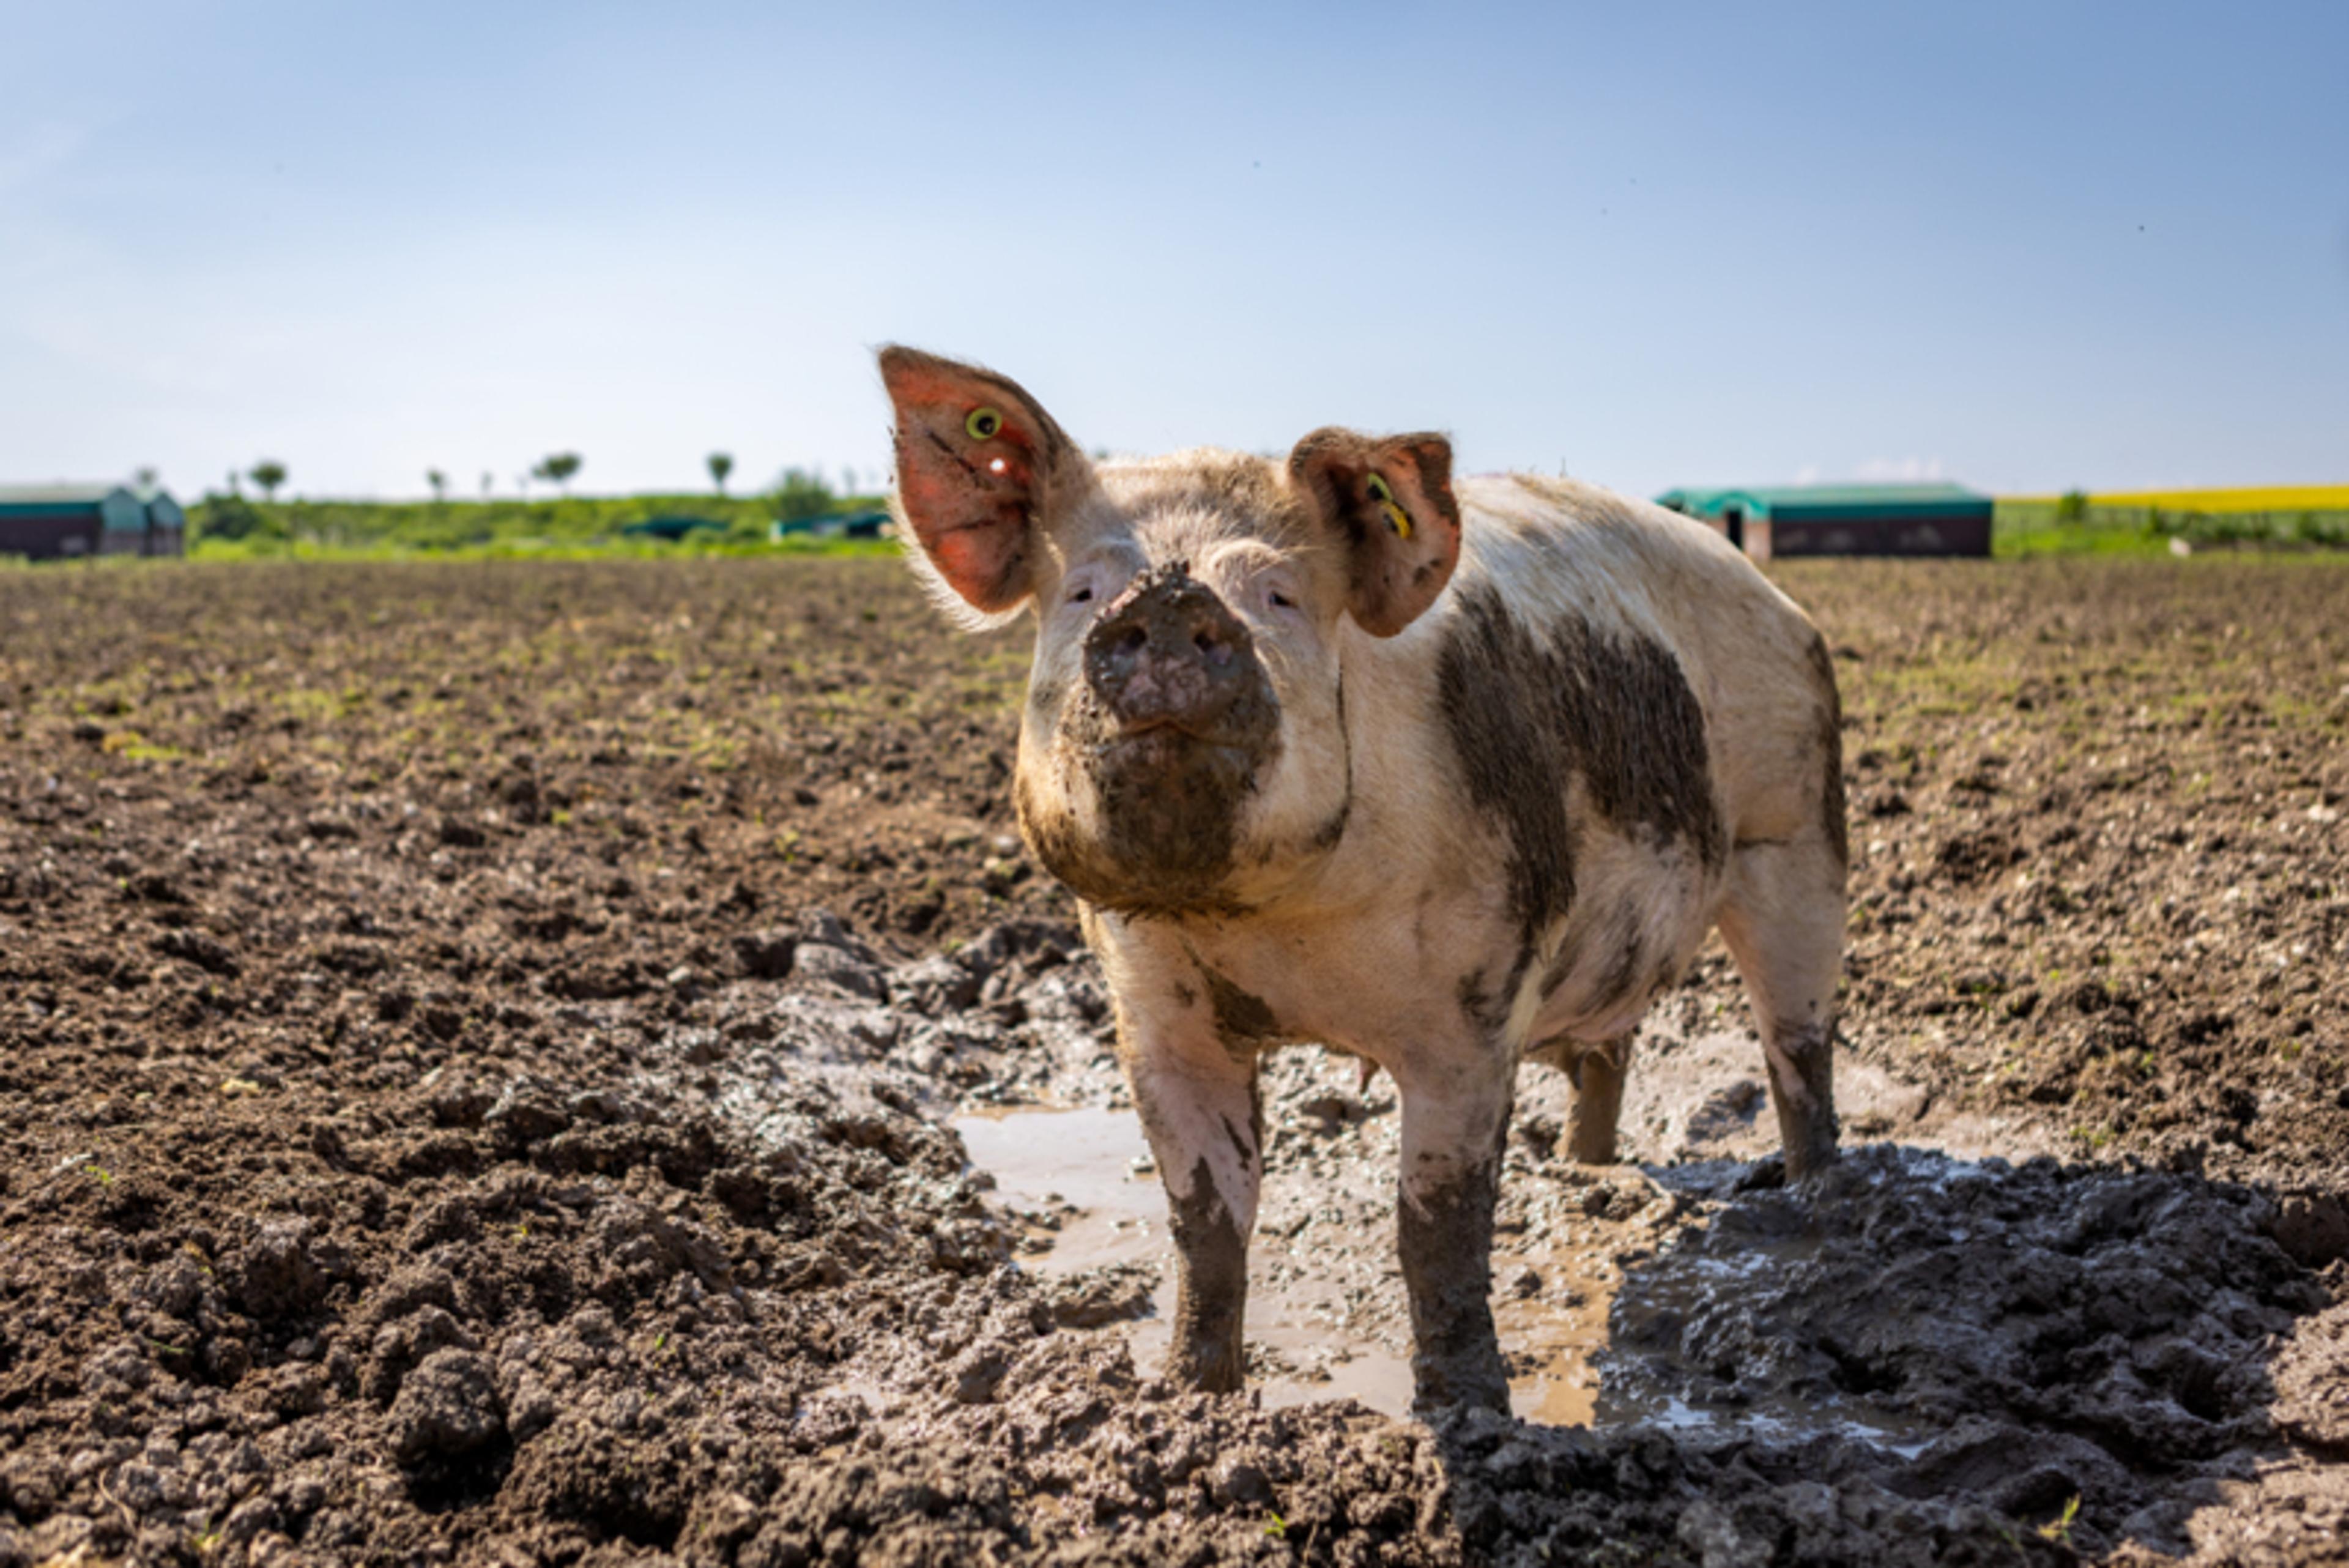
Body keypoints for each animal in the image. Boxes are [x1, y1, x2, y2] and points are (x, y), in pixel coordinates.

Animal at [880, 346, 1847, 1414]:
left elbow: (1437, 1229)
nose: (1170, 601)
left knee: (1798, 1042)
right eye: (1085, 590)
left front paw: (1468, 1412)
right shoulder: (1153, 1002)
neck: (1277, 924)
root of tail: (1772, 592)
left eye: (1280, 596)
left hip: (1796, 824)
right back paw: (1585, 1169)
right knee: (1611, 1049)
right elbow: (1205, 1219)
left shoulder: (1478, 999)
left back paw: (1817, 1202)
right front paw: (1189, 1396)